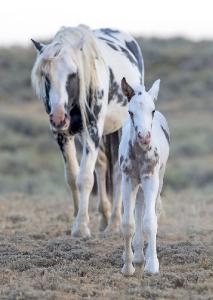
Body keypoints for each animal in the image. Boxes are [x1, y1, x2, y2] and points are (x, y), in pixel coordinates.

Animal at [31, 24, 144, 238]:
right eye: (46, 75)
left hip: (117, 130)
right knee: (101, 164)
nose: (58, 117)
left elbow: (84, 178)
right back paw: (105, 218)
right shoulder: (63, 135)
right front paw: (76, 218)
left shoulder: (93, 129)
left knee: (117, 172)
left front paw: (81, 227)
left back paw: (114, 224)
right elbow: (72, 176)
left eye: (73, 74)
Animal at [120, 77, 170, 274]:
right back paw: (138, 255)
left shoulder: (150, 179)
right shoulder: (128, 180)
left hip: (158, 179)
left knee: (153, 210)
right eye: (130, 112)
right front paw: (128, 267)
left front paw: (152, 266)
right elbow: (128, 222)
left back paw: (146, 256)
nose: (144, 137)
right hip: (138, 184)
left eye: (152, 110)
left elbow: (150, 221)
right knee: (139, 208)